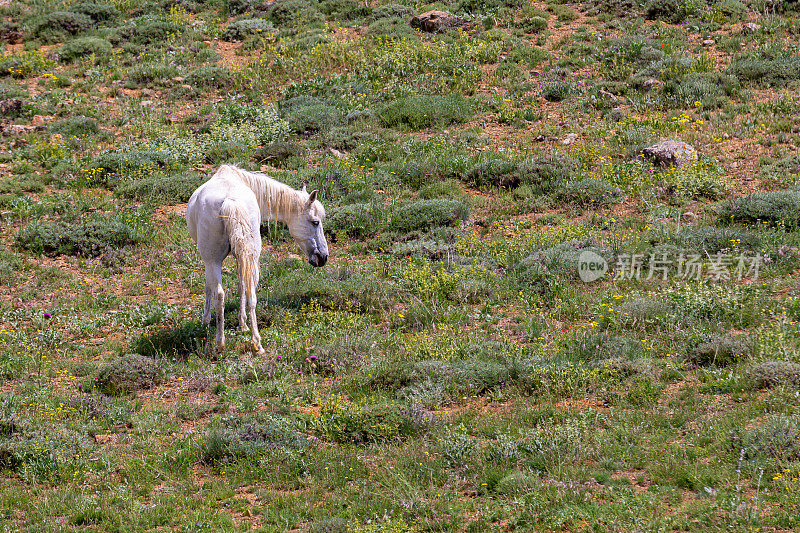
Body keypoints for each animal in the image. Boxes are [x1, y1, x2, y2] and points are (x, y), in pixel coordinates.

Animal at [186, 164, 326, 356]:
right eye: (315, 222)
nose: (323, 257)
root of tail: (231, 201)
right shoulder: (242, 255)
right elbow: (242, 286)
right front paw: (243, 324)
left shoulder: (210, 260)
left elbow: (210, 287)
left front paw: (206, 320)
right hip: (247, 255)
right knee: (251, 292)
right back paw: (256, 344)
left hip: (212, 261)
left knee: (219, 295)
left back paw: (220, 343)